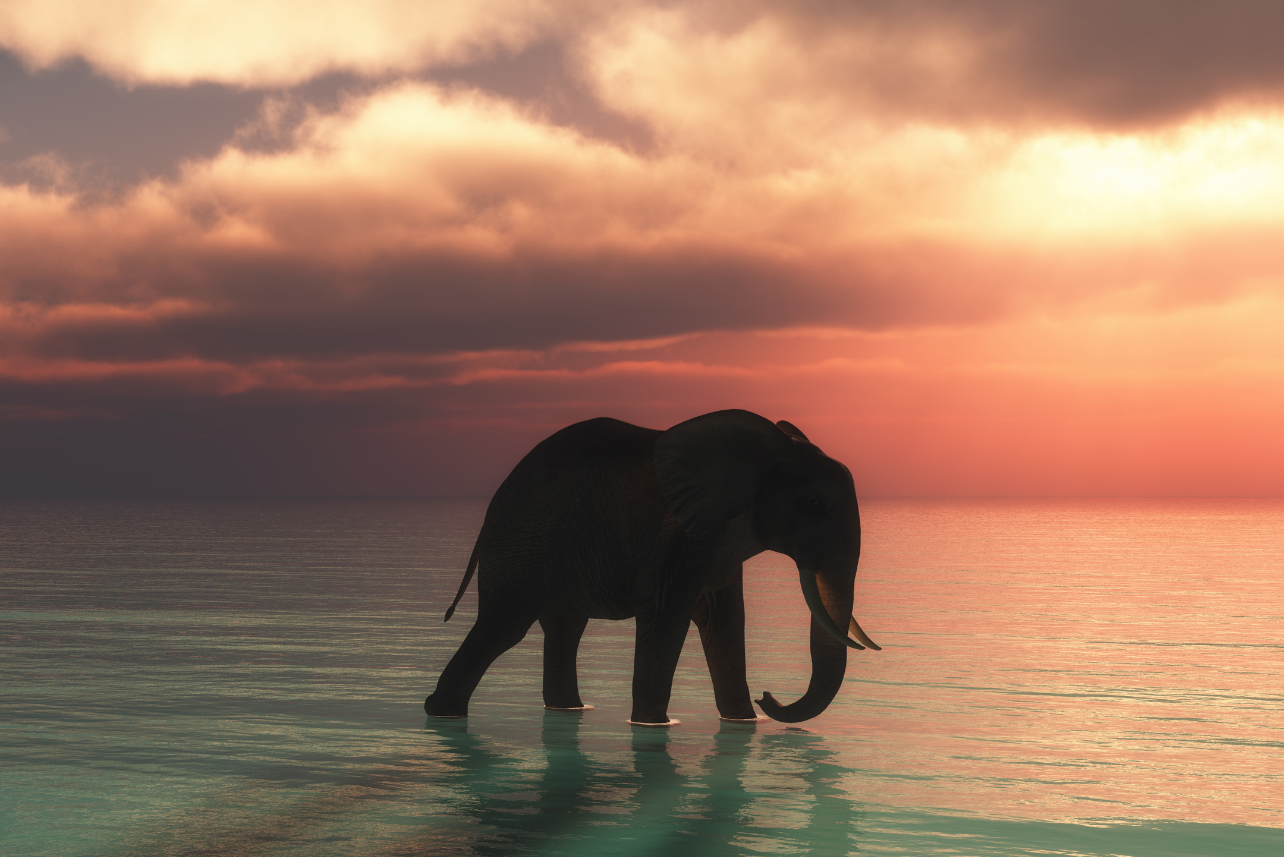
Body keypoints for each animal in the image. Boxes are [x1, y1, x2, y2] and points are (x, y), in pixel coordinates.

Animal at [424, 409, 880, 726]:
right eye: (812, 503)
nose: (767, 698)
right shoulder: (679, 540)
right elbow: (666, 620)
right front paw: (651, 726)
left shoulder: (719, 546)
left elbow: (725, 623)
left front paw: (741, 722)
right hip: (520, 546)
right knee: (504, 627)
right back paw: (442, 712)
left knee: (564, 627)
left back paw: (568, 710)